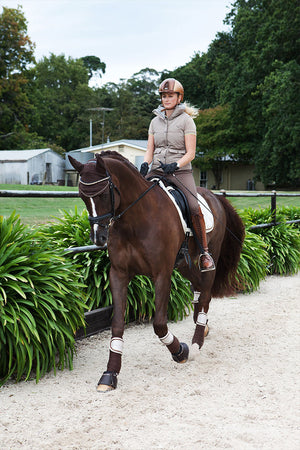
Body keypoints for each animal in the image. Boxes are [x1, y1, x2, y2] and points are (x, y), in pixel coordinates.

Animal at [69, 150, 245, 390]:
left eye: (104, 194)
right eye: (82, 197)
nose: (98, 238)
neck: (135, 221)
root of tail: (214, 196)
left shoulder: (162, 274)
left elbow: (160, 324)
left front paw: (180, 352)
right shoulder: (119, 274)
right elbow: (117, 324)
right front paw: (110, 374)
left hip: (208, 259)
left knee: (206, 294)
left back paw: (197, 341)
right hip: (185, 265)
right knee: (198, 290)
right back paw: (203, 327)